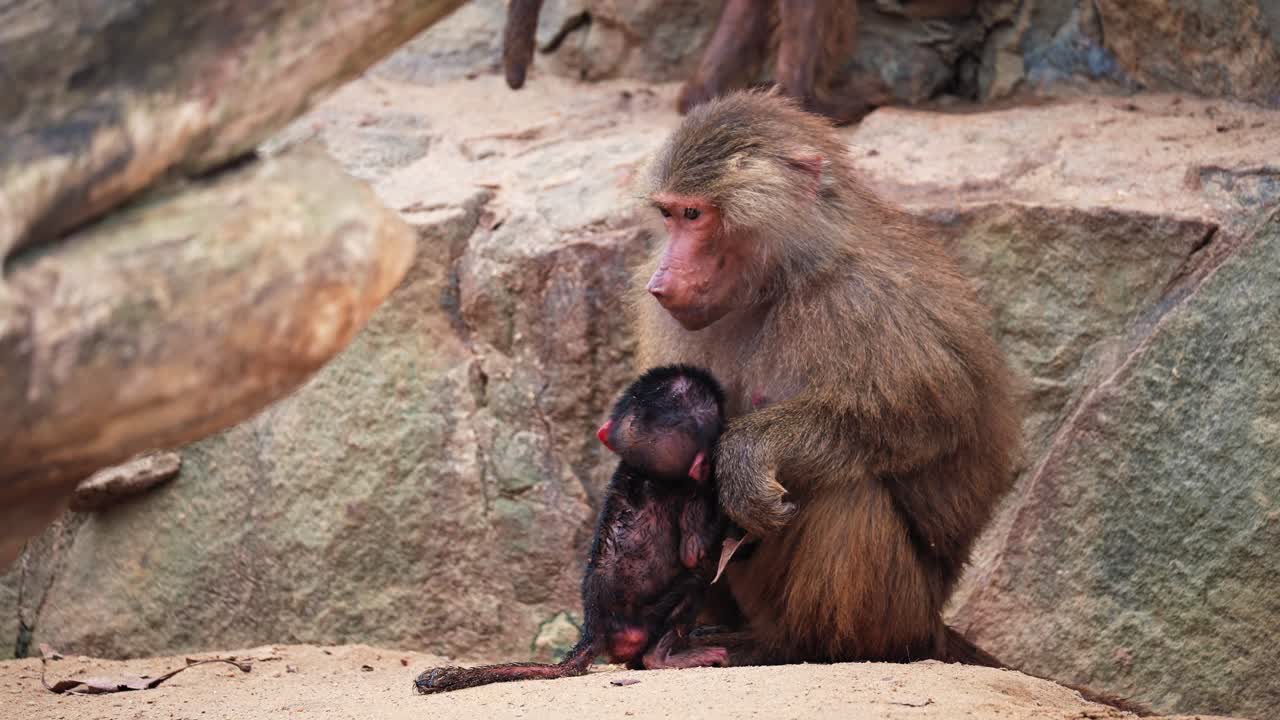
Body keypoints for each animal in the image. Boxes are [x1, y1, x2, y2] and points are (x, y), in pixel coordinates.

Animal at [415, 365, 732, 694]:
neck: (641, 470)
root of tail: (593, 629)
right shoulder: (687, 492)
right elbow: (693, 552)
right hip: (643, 622)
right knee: (695, 581)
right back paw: (665, 657)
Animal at [628, 88, 1153, 716]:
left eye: (695, 215)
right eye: (668, 214)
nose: (659, 283)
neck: (786, 276)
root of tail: (933, 626)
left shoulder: (866, 299)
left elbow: (932, 418)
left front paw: (747, 454)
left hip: (904, 610)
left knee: (847, 488)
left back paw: (807, 647)